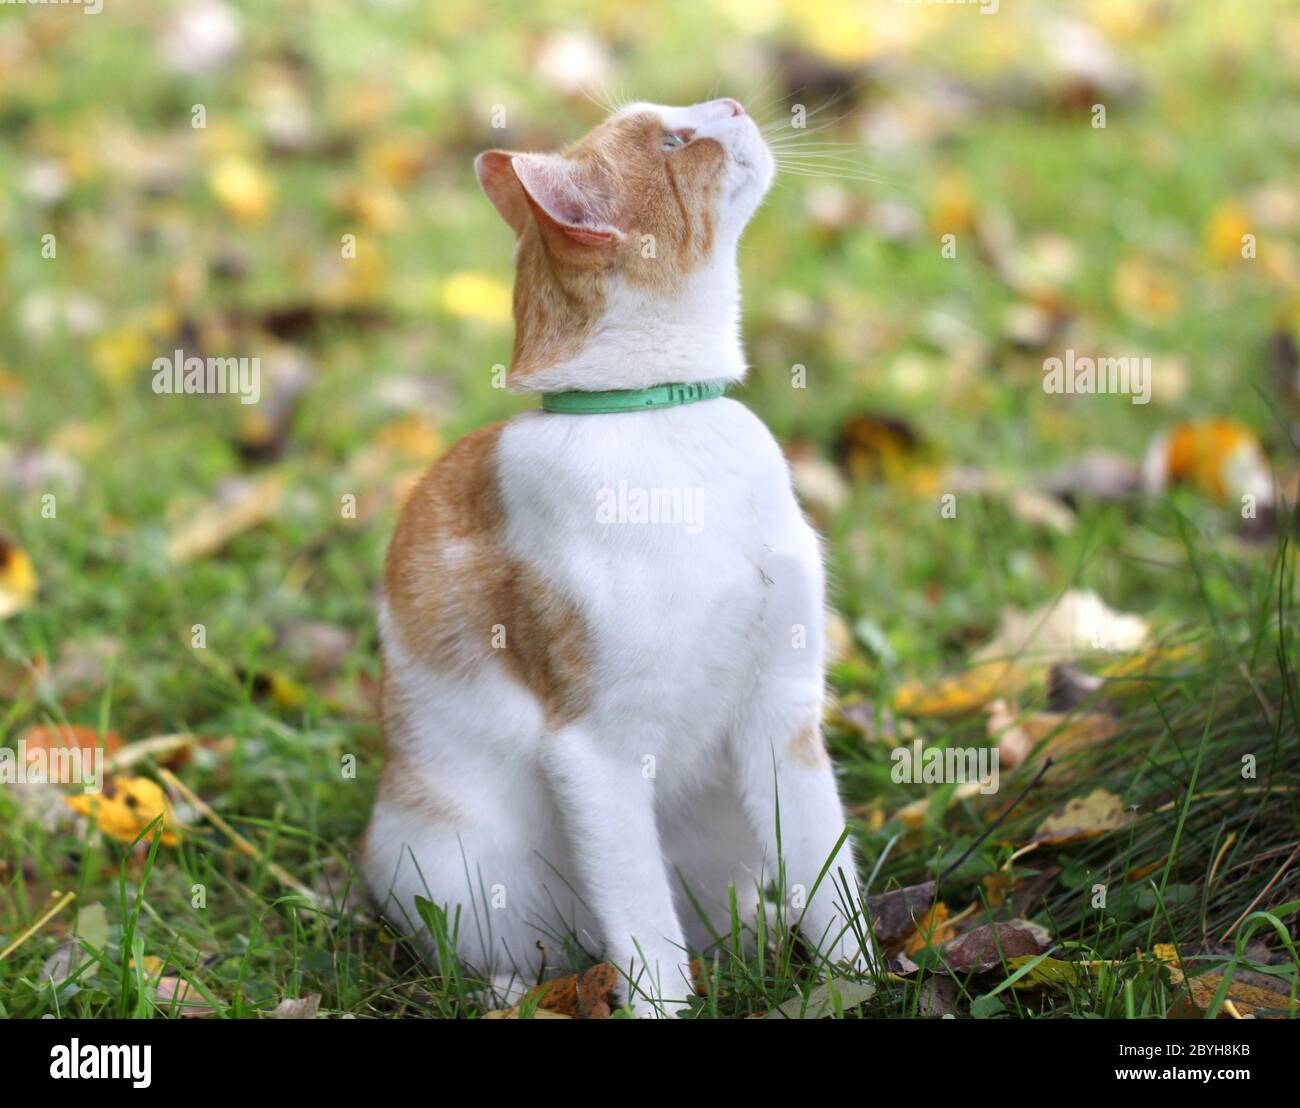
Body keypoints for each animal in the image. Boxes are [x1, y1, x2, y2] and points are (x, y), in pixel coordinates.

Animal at [361, 99, 868, 1019]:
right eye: (673, 141)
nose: (732, 105)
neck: (663, 421)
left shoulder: (783, 713)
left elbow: (830, 874)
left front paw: (866, 985)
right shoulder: (596, 752)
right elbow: (645, 929)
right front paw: (664, 1002)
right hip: (457, 871)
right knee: (521, 955)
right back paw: (518, 987)